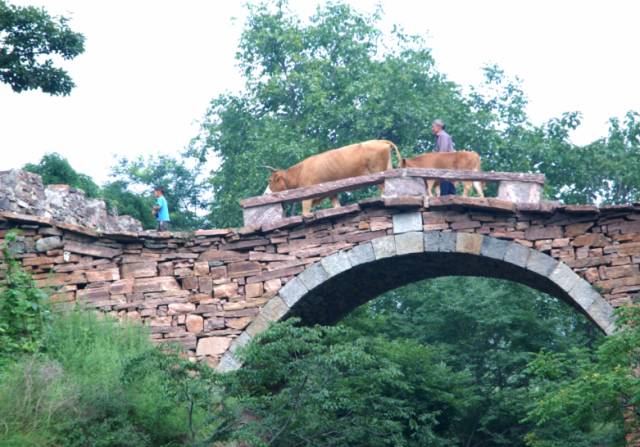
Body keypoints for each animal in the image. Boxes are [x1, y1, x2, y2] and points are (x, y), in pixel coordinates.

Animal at [264, 141, 400, 216]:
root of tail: (380, 141)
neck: (300, 172)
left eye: (270, 180)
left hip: (378, 172)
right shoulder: (331, 193)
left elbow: (305, 212)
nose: (265, 194)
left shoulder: (307, 196)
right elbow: (337, 206)